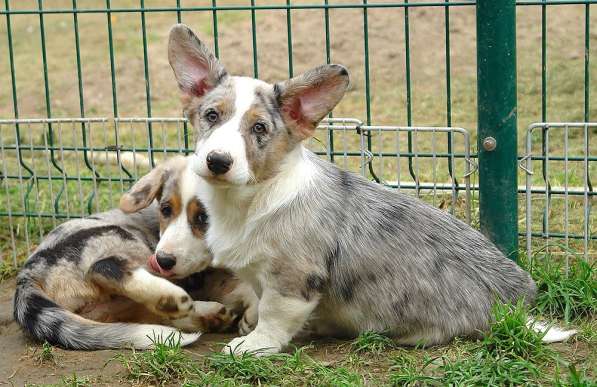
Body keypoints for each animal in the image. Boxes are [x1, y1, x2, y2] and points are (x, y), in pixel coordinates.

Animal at [14, 156, 256, 350]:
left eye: (204, 217)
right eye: (165, 209)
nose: (163, 261)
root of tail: (28, 274)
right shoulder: (206, 278)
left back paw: (210, 317)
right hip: (124, 239)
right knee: (103, 267)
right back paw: (171, 298)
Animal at [165, 23, 576, 354]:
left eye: (259, 129)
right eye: (211, 116)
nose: (218, 161)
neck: (250, 199)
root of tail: (511, 309)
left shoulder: (292, 278)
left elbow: (273, 316)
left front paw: (251, 345)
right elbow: (255, 297)